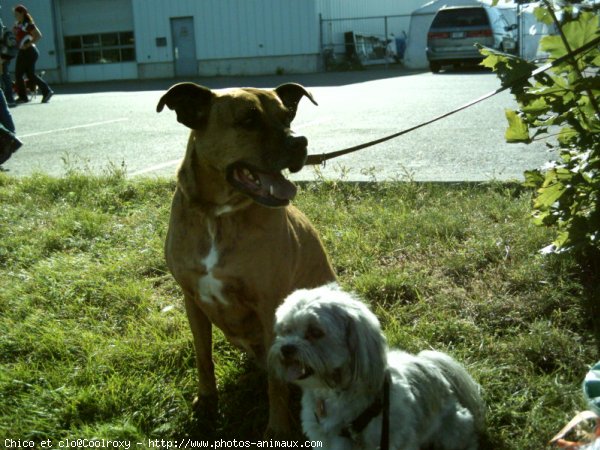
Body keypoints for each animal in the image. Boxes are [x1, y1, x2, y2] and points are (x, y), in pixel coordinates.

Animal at [157, 82, 336, 438]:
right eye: (248, 119)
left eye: (287, 116)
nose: (300, 141)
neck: (218, 214)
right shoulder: (191, 300)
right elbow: (203, 356)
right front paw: (207, 403)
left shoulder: (270, 308)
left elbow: (275, 384)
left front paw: (278, 430)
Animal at [270, 284, 486, 448]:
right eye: (286, 330)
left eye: (315, 332)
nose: (287, 348)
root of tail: (432, 365)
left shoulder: (392, 439)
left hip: (453, 431)